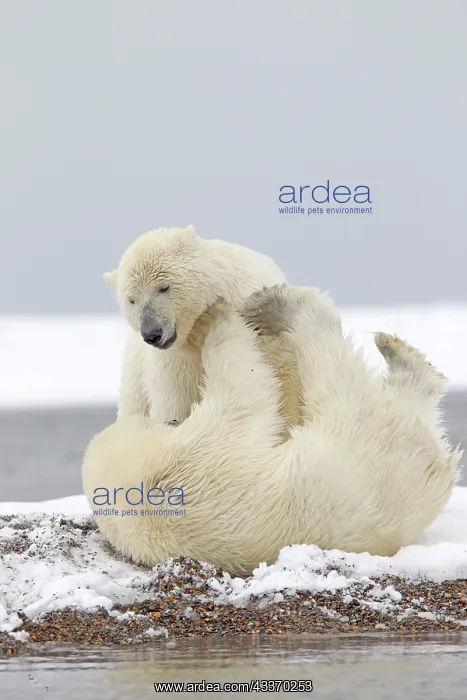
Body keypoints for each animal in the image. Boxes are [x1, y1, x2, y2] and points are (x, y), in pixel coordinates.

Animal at [82, 286, 461, 577]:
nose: (169, 421)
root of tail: (436, 469)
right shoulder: (203, 457)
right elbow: (244, 389)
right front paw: (217, 314)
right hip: (360, 434)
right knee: (332, 365)